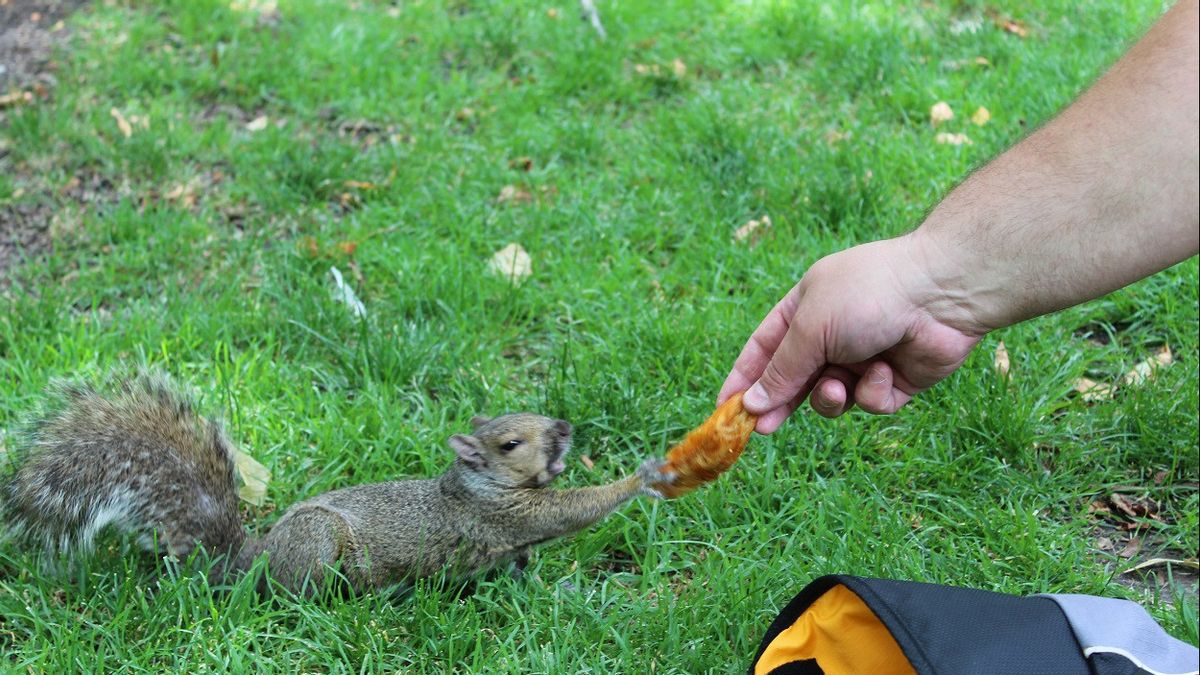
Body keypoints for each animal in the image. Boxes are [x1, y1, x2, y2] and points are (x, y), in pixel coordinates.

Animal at [0, 374, 676, 590]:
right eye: (511, 443)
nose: (564, 429)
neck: (479, 488)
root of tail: (255, 559)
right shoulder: (505, 516)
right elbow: (570, 511)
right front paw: (643, 477)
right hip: (321, 548)